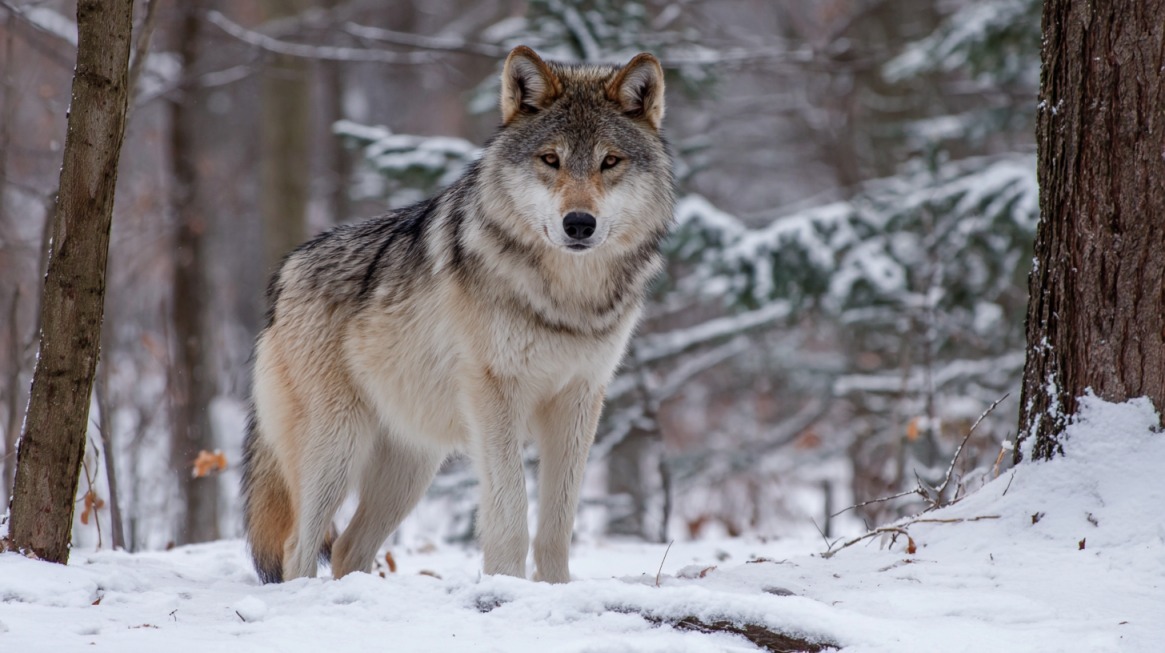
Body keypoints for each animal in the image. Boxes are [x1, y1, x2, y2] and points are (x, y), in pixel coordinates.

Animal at [241, 45, 674, 584]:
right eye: (550, 159)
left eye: (609, 161)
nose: (579, 223)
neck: (567, 298)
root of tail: (284, 274)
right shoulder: (495, 396)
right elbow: (510, 515)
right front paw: (507, 585)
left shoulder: (579, 400)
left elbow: (558, 524)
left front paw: (556, 588)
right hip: (337, 448)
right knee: (299, 545)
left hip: (410, 467)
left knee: (346, 547)